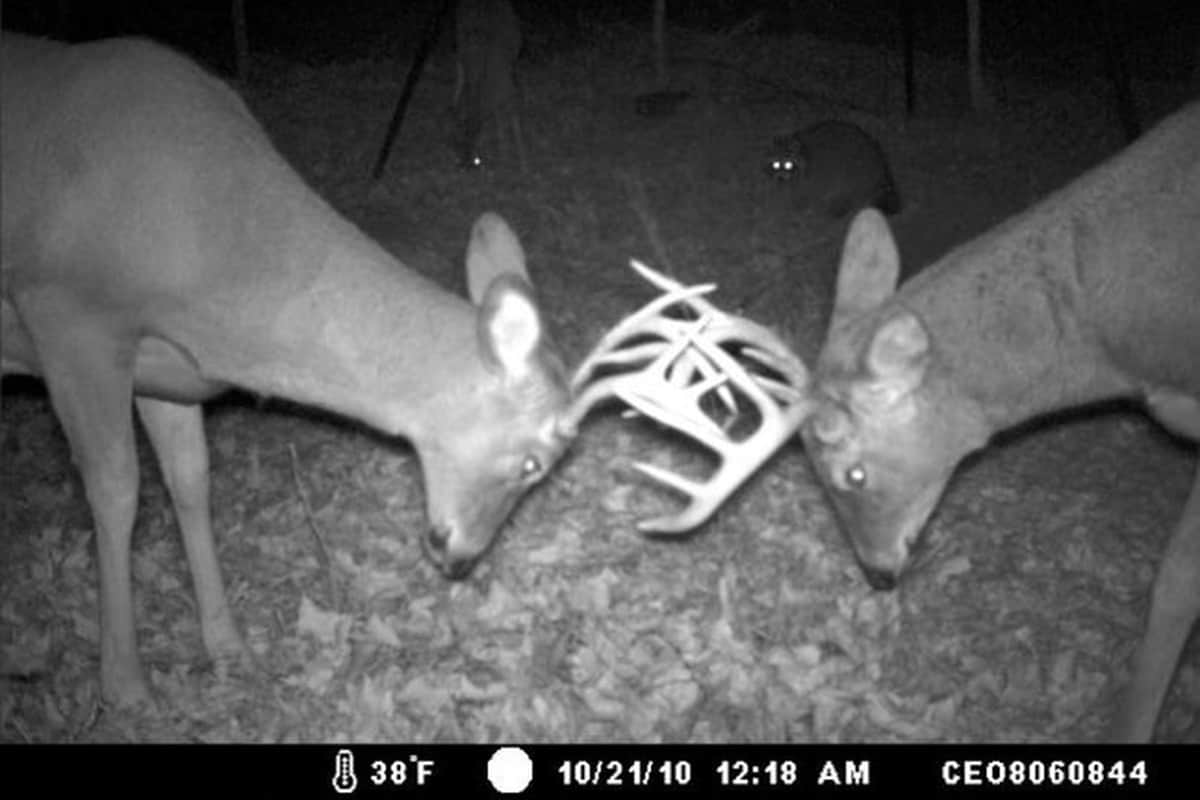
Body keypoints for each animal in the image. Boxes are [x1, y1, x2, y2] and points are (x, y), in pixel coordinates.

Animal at [0, 32, 600, 705]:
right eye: (532, 463)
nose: (461, 557)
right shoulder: (65, 314)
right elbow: (115, 488)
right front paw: (126, 687)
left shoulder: (164, 364)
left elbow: (191, 479)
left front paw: (228, 646)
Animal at [451, 0, 523, 170]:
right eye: (457, 156)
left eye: (476, 159)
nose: (465, 167)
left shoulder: (505, 85)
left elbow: (509, 116)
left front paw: (514, 154)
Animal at [768, 120, 902, 219]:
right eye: (775, 164)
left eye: (788, 165)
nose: (780, 179)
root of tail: (880, 163)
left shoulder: (816, 176)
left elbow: (809, 192)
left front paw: (801, 206)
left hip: (857, 173)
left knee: (850, 192)